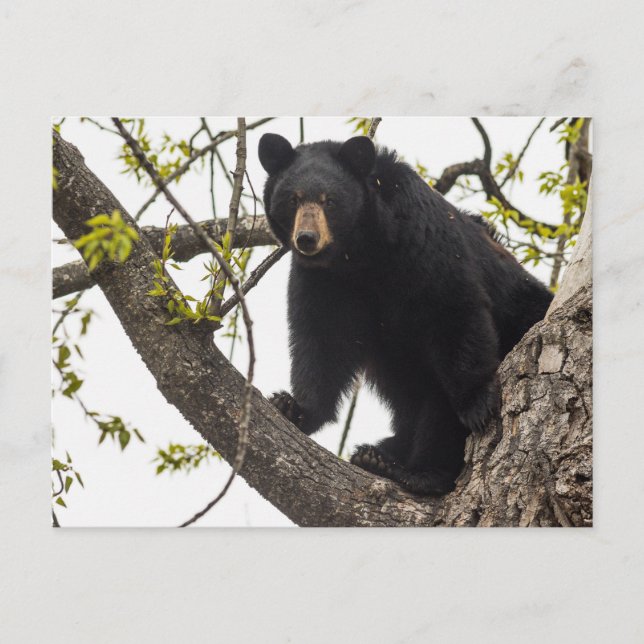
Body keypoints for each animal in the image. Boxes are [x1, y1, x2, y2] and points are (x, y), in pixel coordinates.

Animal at [258, 132, 553, 496]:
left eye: (330, 201)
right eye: (293, 199)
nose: (307, 239)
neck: (360, 255)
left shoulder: (423, 242)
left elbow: (453, 310)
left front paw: (477, 403)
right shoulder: (323, 281)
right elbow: (322, 340)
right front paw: (293, 406)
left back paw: (417, 471)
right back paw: (378, 455)